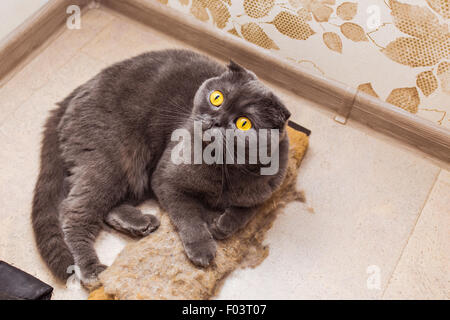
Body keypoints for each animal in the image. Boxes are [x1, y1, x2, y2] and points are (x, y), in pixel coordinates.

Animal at [32, 48, 292, 286]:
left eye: (243, 123)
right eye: (217, 98)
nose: (215, 120)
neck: (226, 169)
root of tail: (80, 89)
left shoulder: (265, 190)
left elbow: (246, 212)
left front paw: (222, 224)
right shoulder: (166, 178)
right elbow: (187, 214)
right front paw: (202, 247)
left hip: (130, 174)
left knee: (104, 206)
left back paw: (140, 224)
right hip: (112, 162)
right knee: (74, 211)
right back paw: (92, 270)